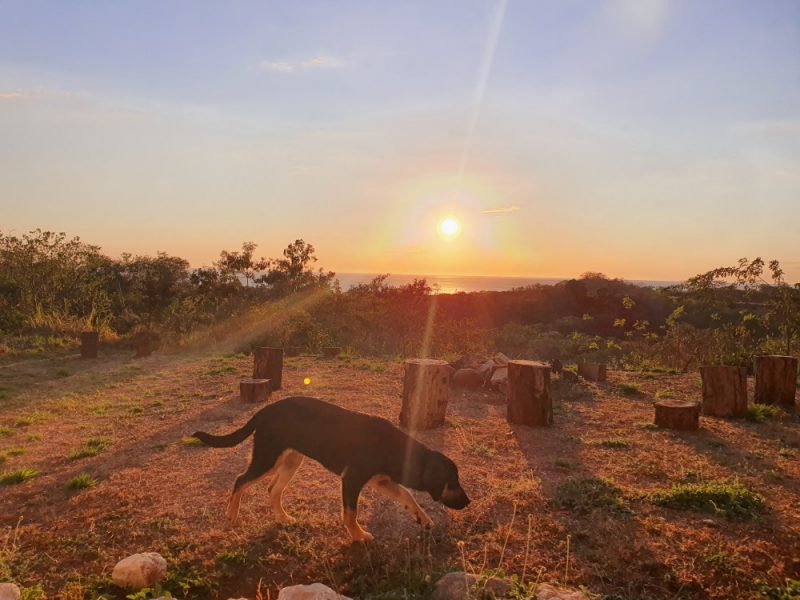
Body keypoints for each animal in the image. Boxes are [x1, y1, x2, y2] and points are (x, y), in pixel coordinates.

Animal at [194, 396, 468, 540]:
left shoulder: (381, 480)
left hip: (291, 461)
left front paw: (423, 518)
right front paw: (358, 536)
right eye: (453, 483)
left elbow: (407, 495)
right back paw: (232, 515)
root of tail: (263, 411)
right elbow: (350, 513)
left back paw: (283, 518)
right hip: (267, 459)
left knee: (273, 489)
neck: (395, 449)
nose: (469, 502)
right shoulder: (352, 480)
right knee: (240, 480)